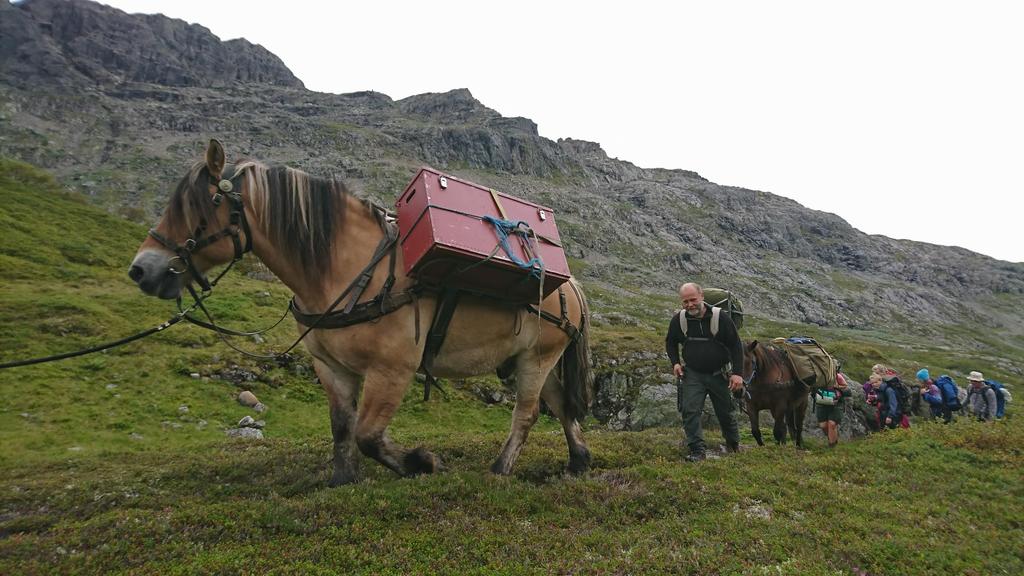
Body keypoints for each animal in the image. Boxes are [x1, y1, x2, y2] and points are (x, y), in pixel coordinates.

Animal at [129, 140, 598, 483]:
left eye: (200, 206)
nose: (141, 270)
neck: (350, 270)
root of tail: (571, 286)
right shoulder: (331, 367)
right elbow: (342, 426)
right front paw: (343, 479)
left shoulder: (392, 370)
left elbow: (368, 435)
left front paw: (421, 462)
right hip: (531, 360)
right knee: (561, 405)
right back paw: (578, 460)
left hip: (537, 357)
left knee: (527, 413)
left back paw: (500, 469)